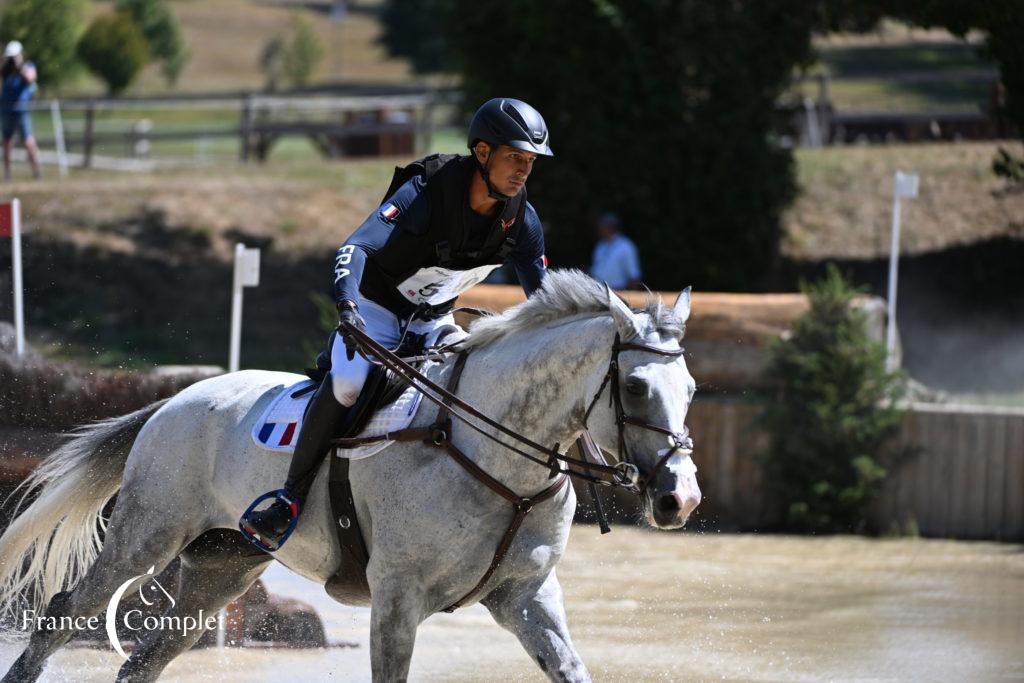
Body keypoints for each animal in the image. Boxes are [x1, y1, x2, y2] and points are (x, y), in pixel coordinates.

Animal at [0, 270, 696, 683]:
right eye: (635, 386)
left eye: (691, 388)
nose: (679, 500)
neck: (500, 457)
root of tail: (175, 400)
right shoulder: (397, 598)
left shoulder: (527, 597)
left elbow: (570, 667)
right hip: (145, 536)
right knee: (65, 613)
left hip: (222, 567)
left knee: (147, 660)